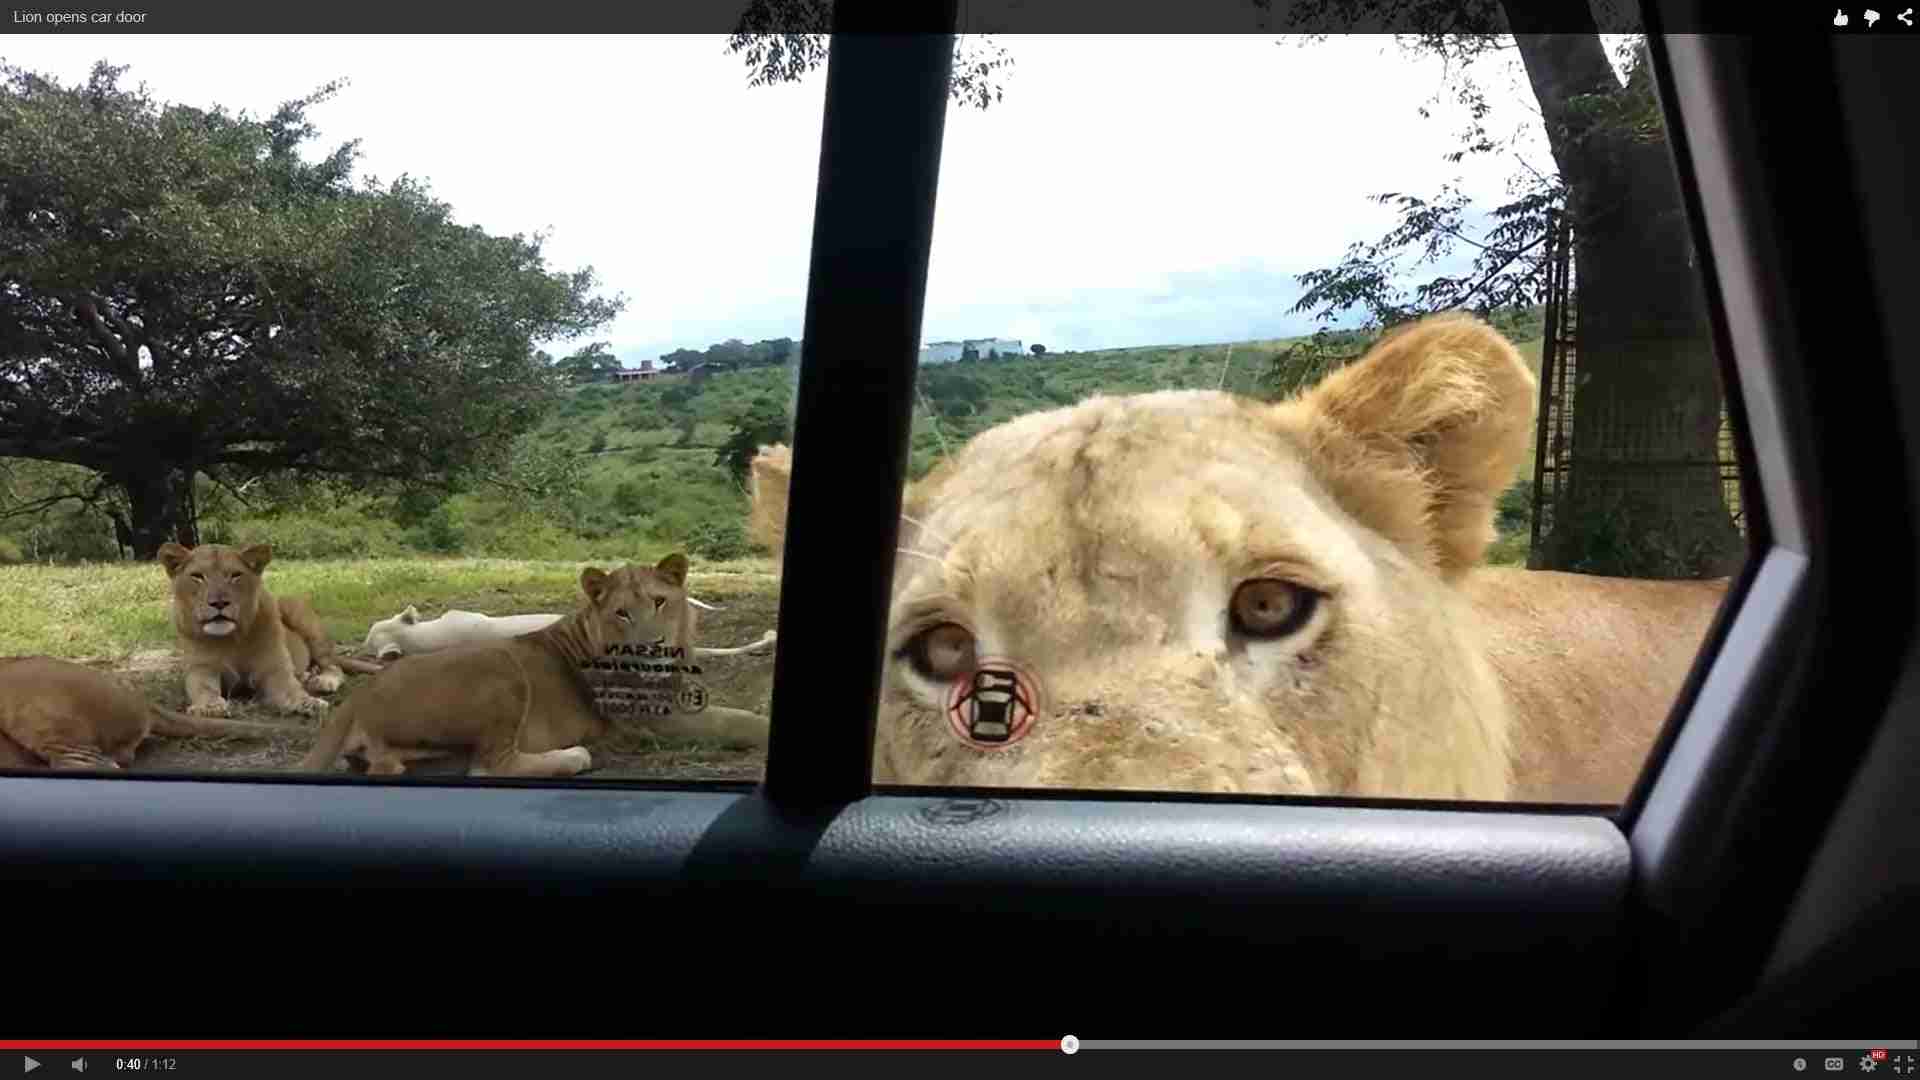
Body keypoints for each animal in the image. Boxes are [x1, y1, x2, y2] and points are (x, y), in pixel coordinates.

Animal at [157, 542, 383, 720]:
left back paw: (322, 681)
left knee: (333, 665)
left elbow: (292, 690)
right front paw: (209, 707)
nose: (219, 602)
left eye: (235, 575)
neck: (230, 639)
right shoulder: (201, 669)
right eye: (197, 576)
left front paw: (309, 702)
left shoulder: (275, 669)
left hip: (297, 611)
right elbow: (203, 689)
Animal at [299, 553, 771, 777]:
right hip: (501, 670)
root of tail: (359, 697)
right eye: (622, 613)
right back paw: (574, 756)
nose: (651, 647)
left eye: (659, 602)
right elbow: (737, 721)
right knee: (489, 766)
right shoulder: (654, 721)